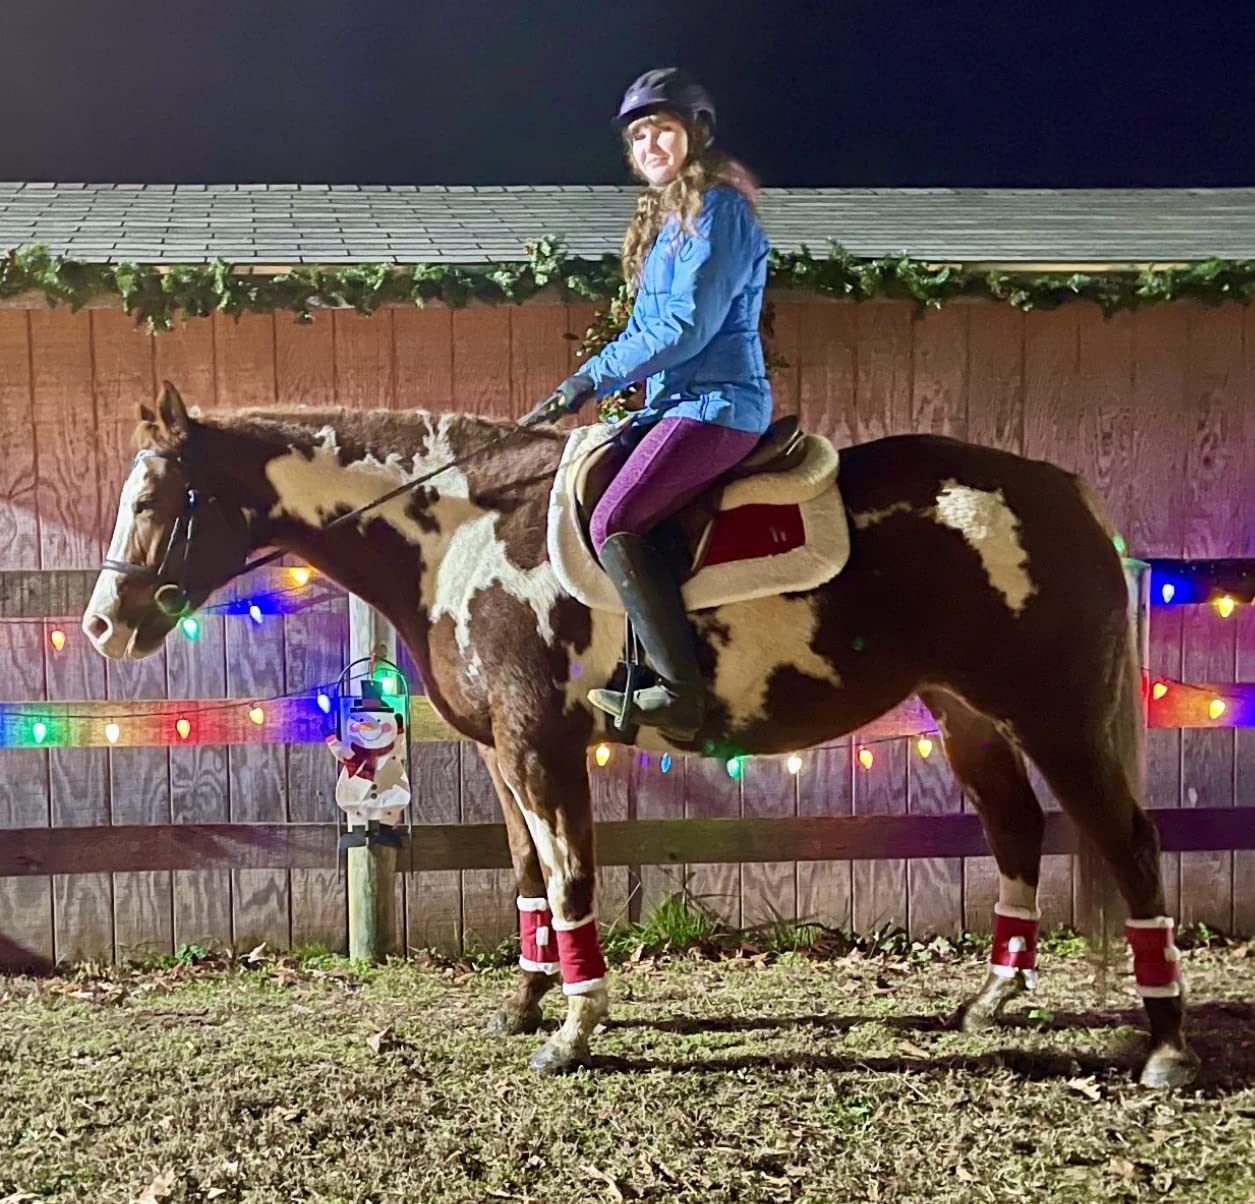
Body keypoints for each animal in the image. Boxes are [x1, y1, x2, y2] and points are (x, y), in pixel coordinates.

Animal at [82, 381, 1198, 1088]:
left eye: (155, 497)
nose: (102, 626)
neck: (467, 532)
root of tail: (1055, 488)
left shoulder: (540, 744)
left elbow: (570, 872)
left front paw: (575, 1030)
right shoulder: (498, 752)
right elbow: (527, 873)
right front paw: (526, 1002)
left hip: (1051, 712)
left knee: (1128, 843)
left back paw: (1164, 1048)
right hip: (965, 711)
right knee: (1016, 828)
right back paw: (992, 1002)